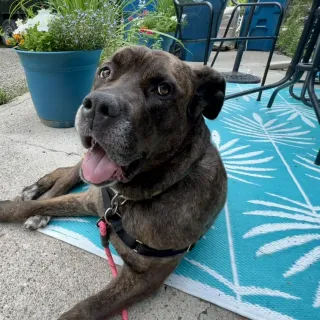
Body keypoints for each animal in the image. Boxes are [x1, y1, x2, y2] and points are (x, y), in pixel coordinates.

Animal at [0, 45, 228, 320]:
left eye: (164, 89)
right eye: (105, 71)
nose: (98, 105)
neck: (130, 196)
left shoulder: (146, 276)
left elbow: (89, 307)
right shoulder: (89, 199)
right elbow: (26, 206)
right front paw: (16, 208)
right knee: (65, 176)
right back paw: (38, 192)